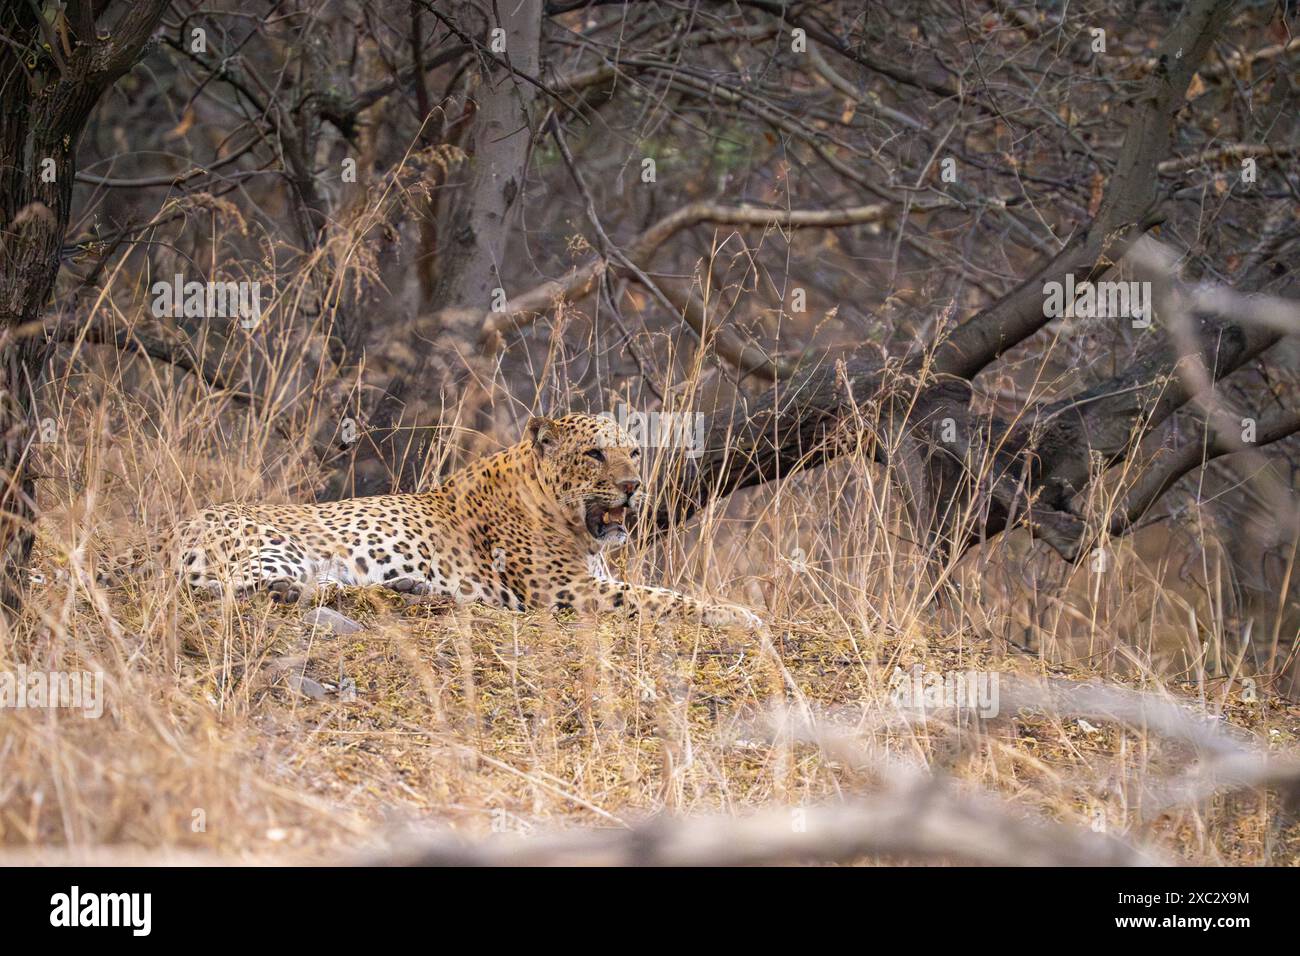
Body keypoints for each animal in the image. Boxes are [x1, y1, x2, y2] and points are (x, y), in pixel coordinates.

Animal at [114, 413, 759, 632]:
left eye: (634, 451)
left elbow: (660, 593)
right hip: (280, 546)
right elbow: (663, 597)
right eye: (596, 454)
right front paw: (741, 615)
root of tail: (166, 535)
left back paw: (415, 587)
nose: (633, 486)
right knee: (266, 588)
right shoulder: (564, 592)